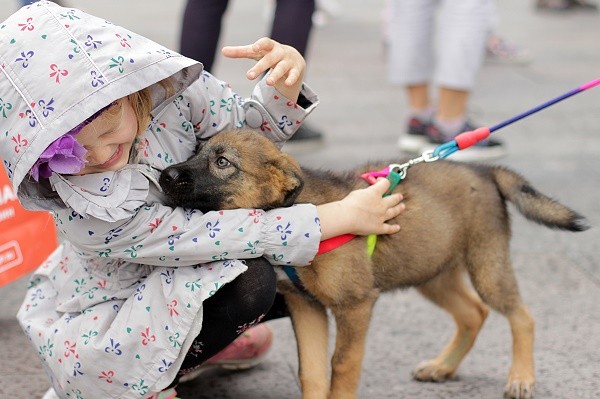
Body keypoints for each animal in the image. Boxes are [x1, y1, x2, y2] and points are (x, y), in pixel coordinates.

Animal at [158, 130, 584, 398]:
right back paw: (443, 366)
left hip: (486, 264)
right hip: (432, 270)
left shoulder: (356, 304)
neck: (300, 212)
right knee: (473, 313)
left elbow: (342, 363)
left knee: (521, 316)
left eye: (223, 162)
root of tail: (485, 171)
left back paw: (521, 378)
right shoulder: (306, 306)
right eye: (195, 151)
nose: (165, 174)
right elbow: (311, 371)